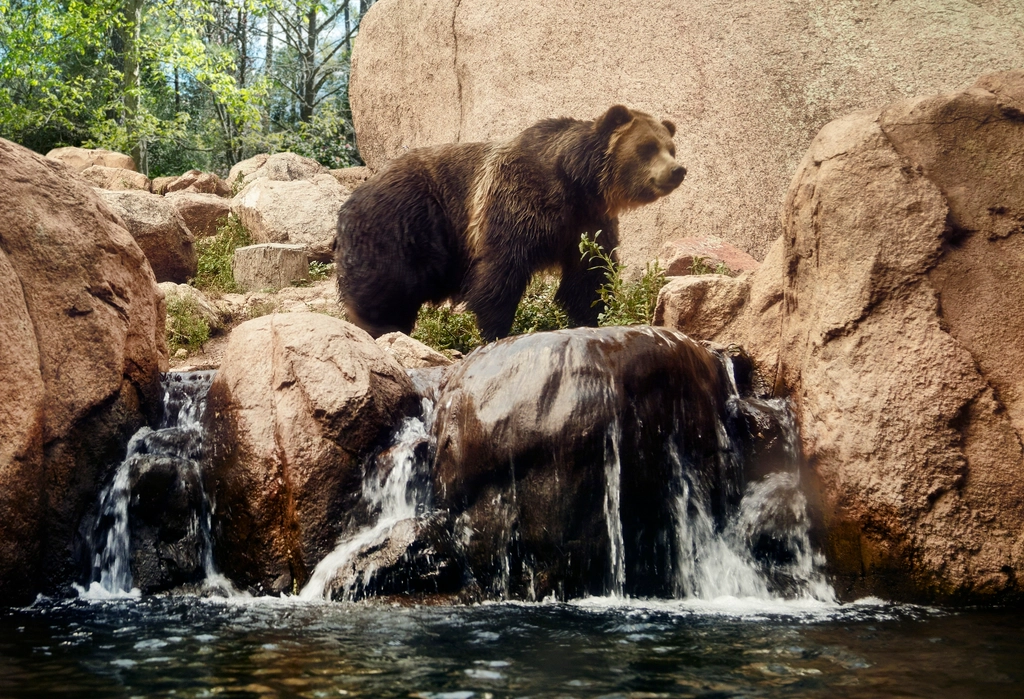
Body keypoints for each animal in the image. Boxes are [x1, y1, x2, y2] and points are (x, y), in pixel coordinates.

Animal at [335, 105, 686, 341]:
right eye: (647, 148)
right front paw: (495, 329)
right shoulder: (516, 203)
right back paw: (381, 325)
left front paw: (591, 316)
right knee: (386, 281)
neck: (575, 183)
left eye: (670, 147)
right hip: (402, 220)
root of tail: (354, 195)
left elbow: (589, 274)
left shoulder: (588, 221)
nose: (677, 170)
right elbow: (502, 270)